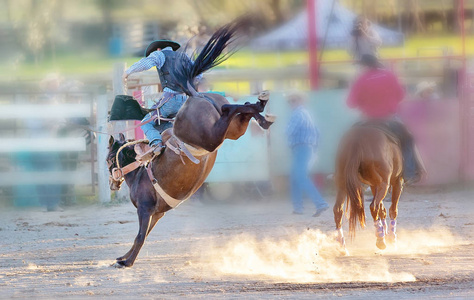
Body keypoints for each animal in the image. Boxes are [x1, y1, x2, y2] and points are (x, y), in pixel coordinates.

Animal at [334, 124, 404, 253]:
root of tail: (356, 141)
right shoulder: (397, 181)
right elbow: (392, 209)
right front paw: (391, 238)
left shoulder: (373, 185)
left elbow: (383, 209)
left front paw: (386, 233)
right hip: (384, 183)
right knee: (373, 206)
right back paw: (380, 239)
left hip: (342, 182)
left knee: (338, 210)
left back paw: (342, 247)